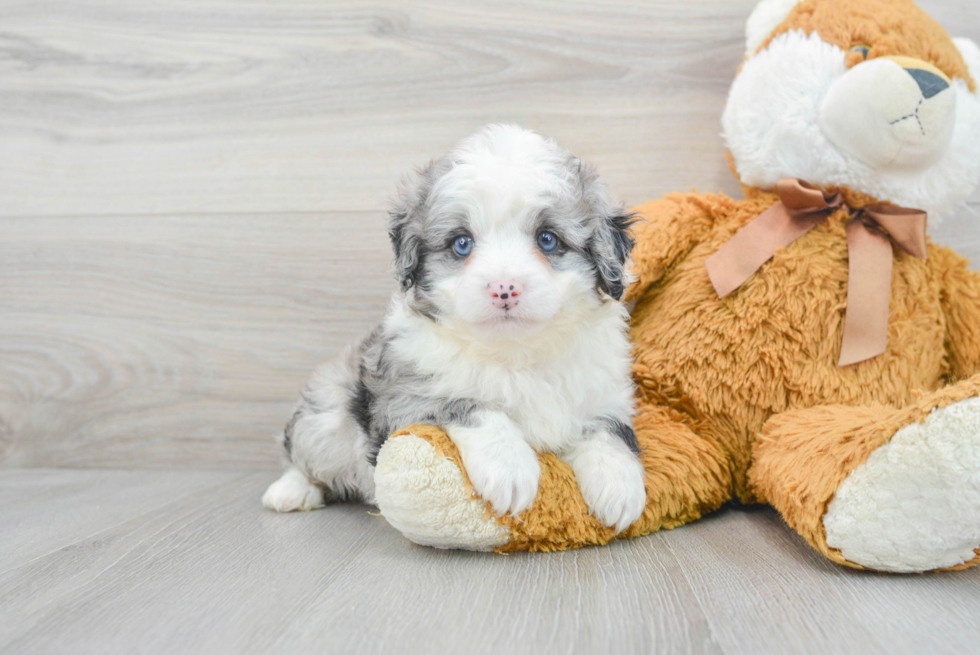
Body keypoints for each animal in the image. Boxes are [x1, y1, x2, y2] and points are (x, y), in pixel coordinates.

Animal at [260, 123, 648, 532]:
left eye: (547, 239)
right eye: (462, 243)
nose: (504, 288)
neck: (517, 354)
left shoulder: (605, 392)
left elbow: (610, 431)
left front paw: (620, 487)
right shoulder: (405, 397)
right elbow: (470, 404)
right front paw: (510, 468)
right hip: (327, 410)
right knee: (301, 452)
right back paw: (291, 492)